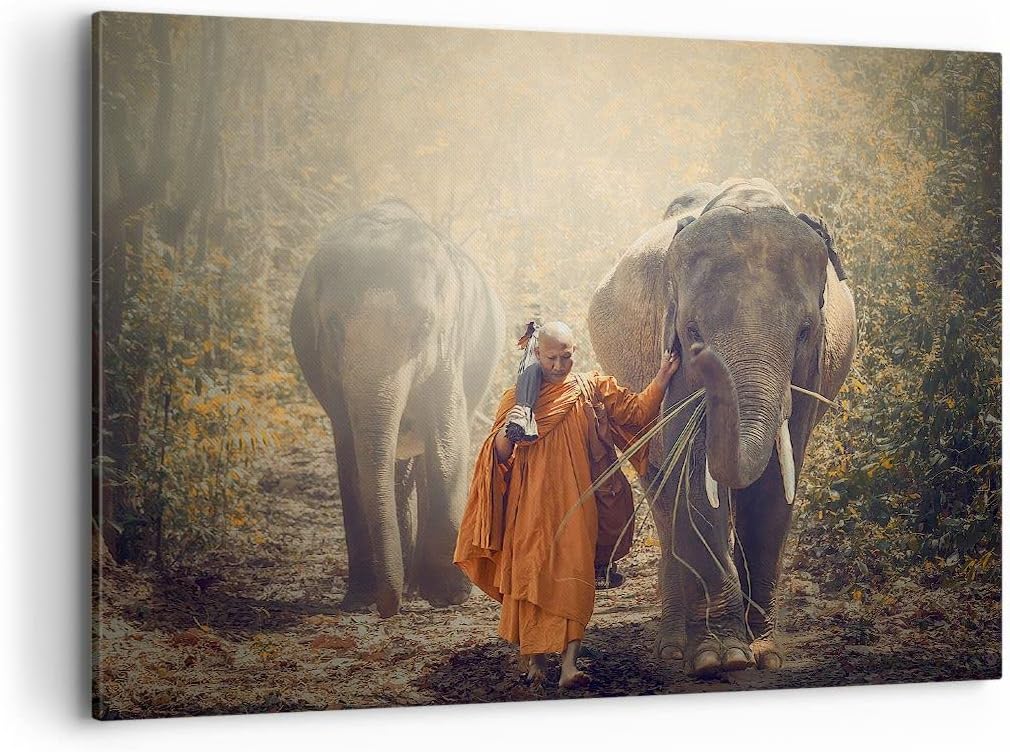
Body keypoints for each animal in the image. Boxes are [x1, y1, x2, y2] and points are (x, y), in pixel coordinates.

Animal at [290, 199, 503, 617]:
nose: (387, 607)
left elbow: (447, 437)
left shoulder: (449, 348)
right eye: (334, 326)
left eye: (423, 327)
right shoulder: (329, 374)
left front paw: (449, 595)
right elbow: (351, 452)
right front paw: (360, 599)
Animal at [588, 178, 856, 676]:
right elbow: (694, 478)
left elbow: (775, 483)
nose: (702, 357)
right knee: (662, 491)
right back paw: (674, 648)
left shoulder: (808, 373)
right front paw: (722, 657)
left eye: (804, 331)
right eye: (692, 331)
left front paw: (764, 653)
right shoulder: (669, 357)